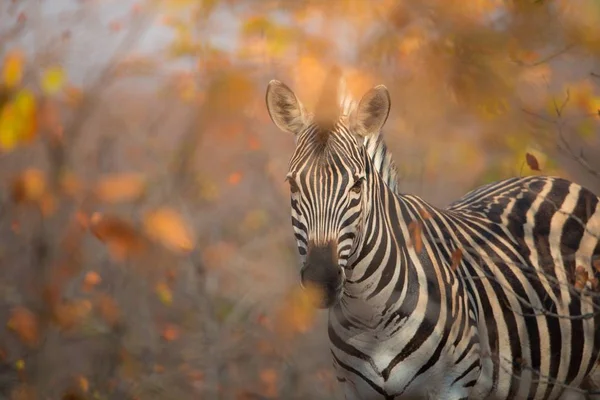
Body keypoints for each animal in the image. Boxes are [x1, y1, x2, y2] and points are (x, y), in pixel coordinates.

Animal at [264, 74, 600, 396]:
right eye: (292, 185)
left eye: (357, 185)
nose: (321, 280)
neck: (370, 317)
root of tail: (554, 179)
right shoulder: (354, 390)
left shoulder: (451, 387)